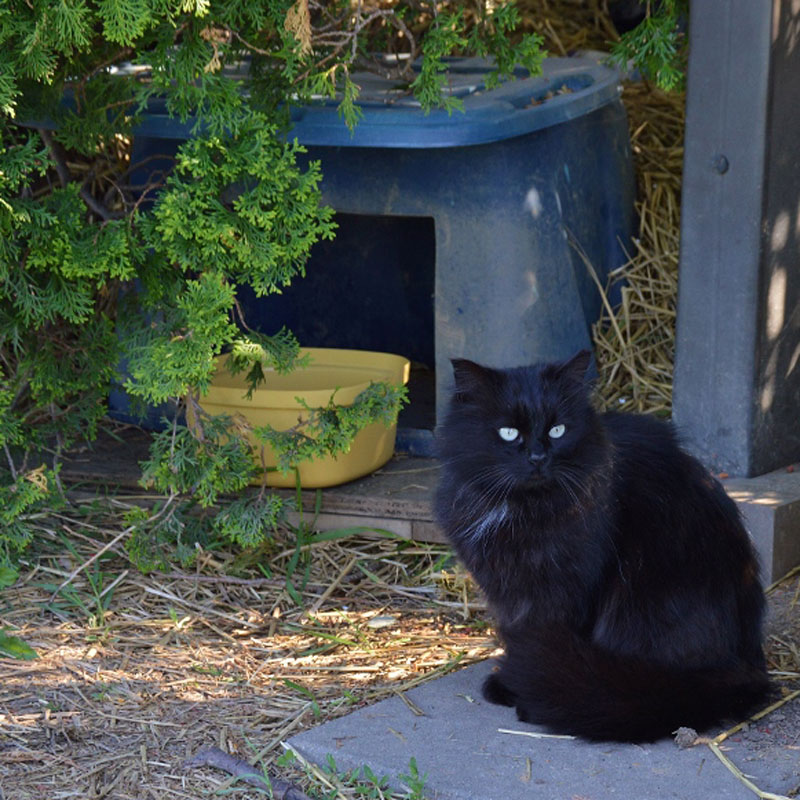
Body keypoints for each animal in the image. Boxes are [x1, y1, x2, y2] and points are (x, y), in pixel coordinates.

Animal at [434, 352, 772, 744]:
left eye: (557, 430)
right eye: (508, 432)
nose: (537, 457)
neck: (523, 510)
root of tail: (747, 664)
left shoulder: (566, 588)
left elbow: (538, 636)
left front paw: (514, 685)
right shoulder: (508, 588)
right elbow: (515, 630)